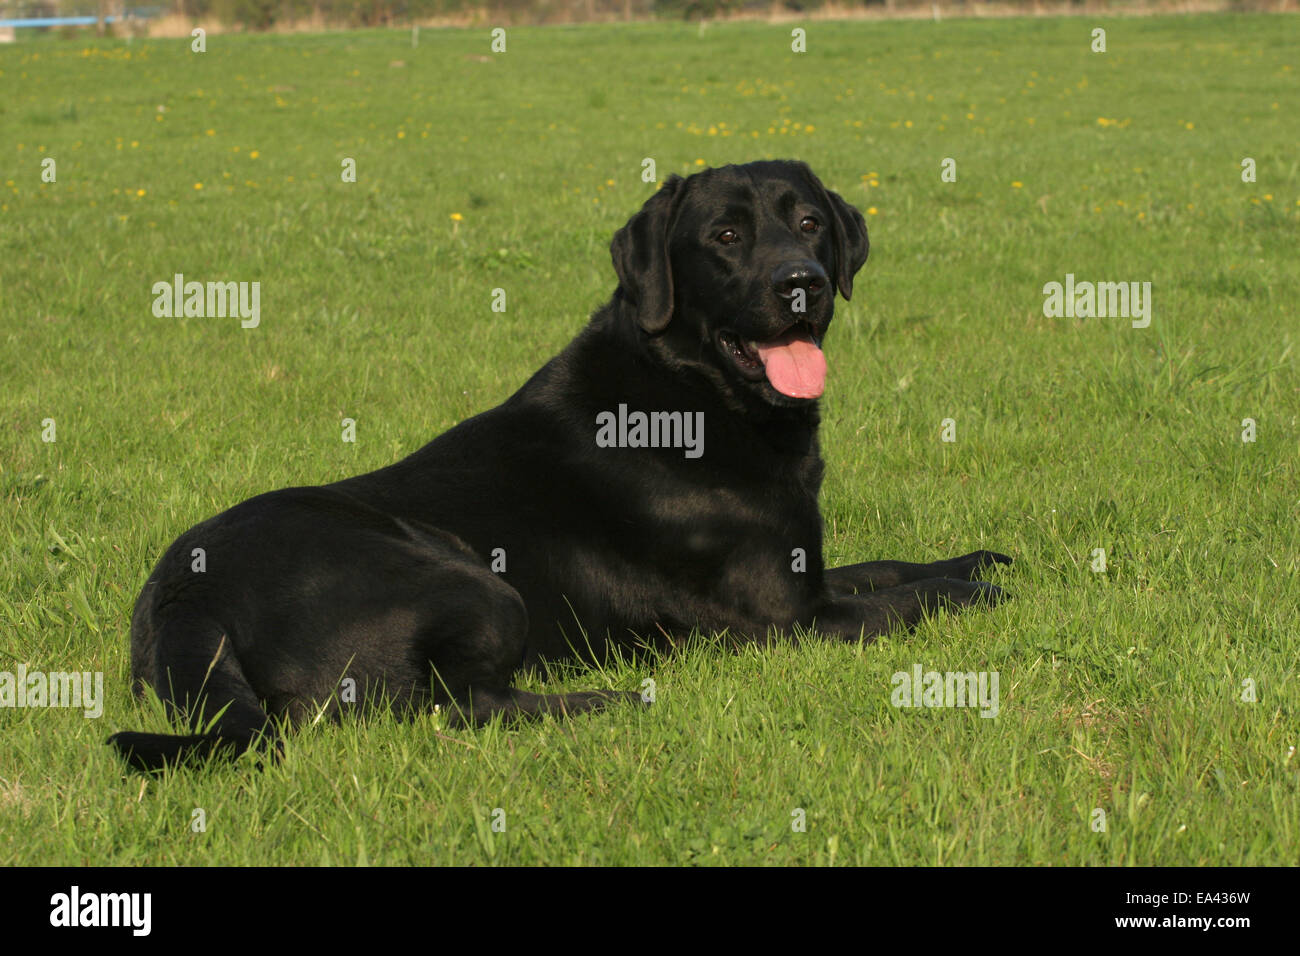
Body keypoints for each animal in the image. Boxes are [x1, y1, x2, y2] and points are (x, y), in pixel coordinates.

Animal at [109, 160, 1003, 775]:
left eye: (812, 222)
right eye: (725, 238)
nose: (802, 285)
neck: (692, 392)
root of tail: (183, 595)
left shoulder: (805, 575)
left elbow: (891, 567)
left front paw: (980, 555)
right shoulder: (791, 622)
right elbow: (921, 599)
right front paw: (982, 587)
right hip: (473, 582)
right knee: (455, 709)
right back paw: (606, 698)